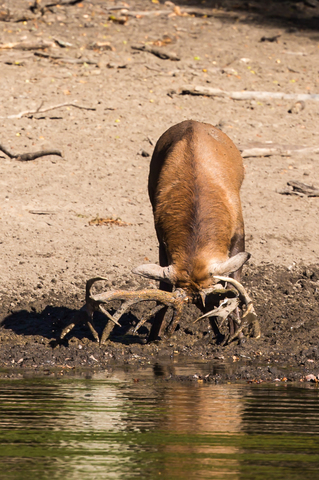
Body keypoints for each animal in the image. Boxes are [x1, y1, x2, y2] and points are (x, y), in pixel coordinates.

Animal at [61, 120, 262, 344]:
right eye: (201, 306)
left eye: (213, 304)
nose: (219, 333)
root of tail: (193, 121)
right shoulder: (162, 240)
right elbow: (163, 288)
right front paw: (153, 336)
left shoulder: (239, 233)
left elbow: (234, 285)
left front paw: (239, 337)